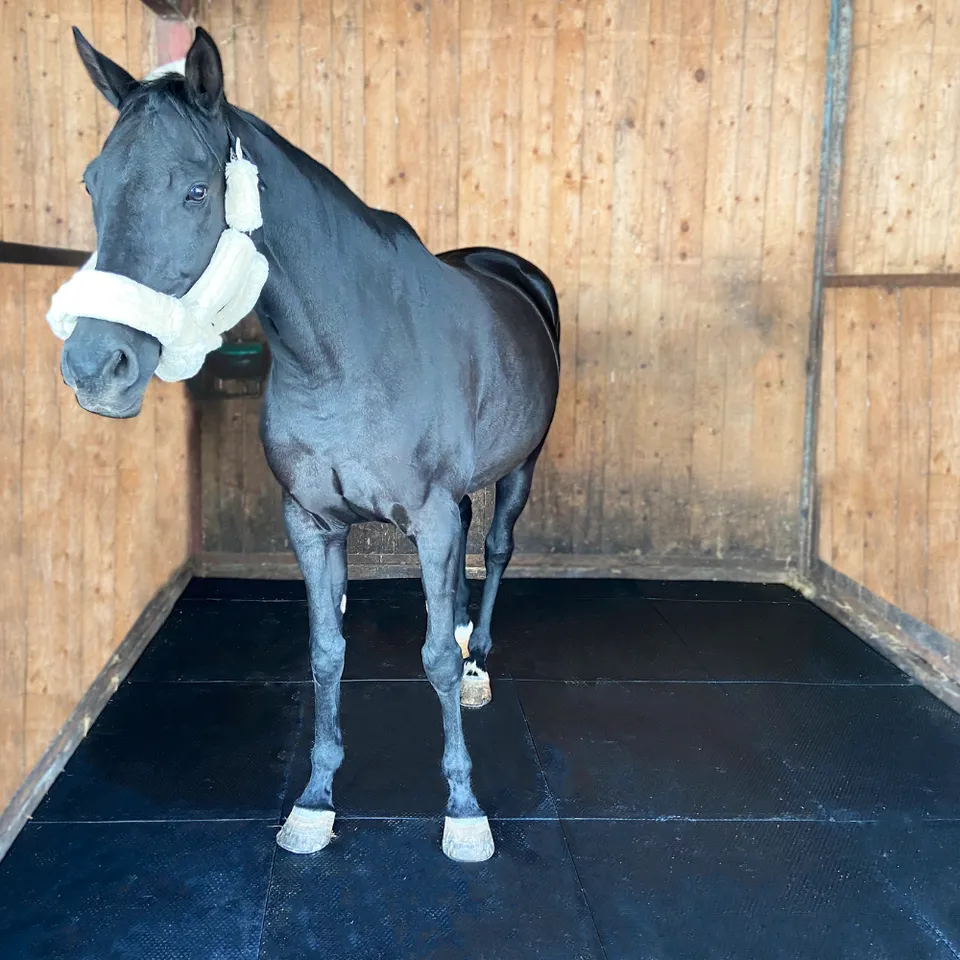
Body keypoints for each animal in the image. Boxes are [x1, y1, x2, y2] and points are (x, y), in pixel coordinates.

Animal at [59, 27, 560, 863]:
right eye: (93, 185)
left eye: (196, 192)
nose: (94, 367)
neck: (348, 352)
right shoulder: (312, 523)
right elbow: (327, 654)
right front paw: (316, 801)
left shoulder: (428, 519)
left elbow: (432, 660)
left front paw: (463, 810)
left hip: (519, 470)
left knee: (493, 552)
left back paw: (478, 658)